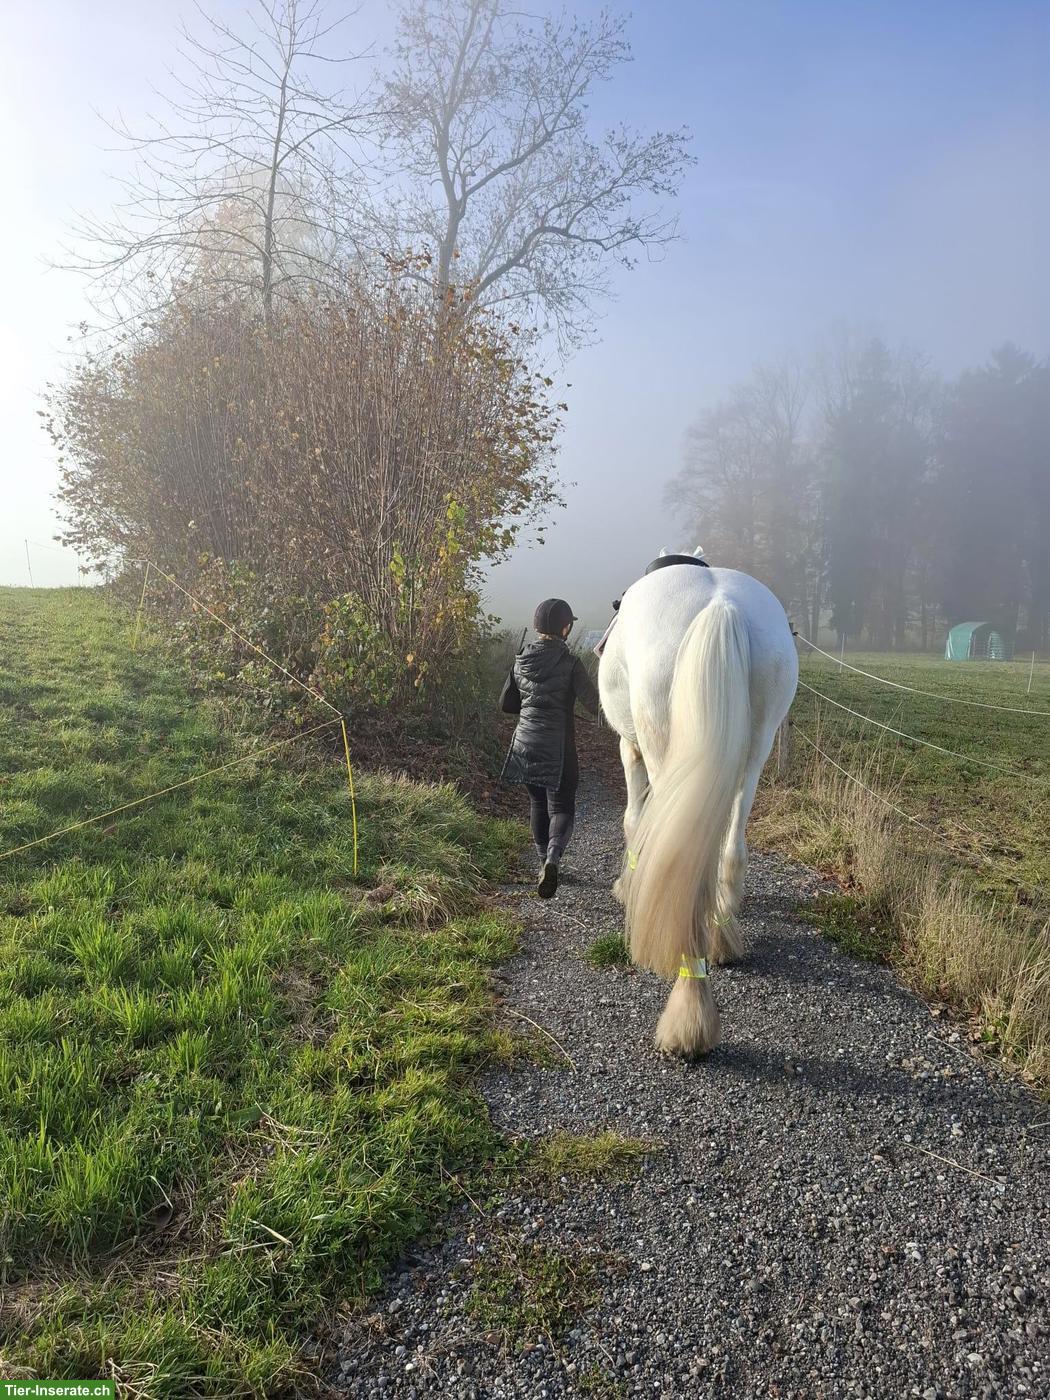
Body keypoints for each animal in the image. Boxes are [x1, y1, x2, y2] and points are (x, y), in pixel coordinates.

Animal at [597, 549, 798, 1058]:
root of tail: (720, 605)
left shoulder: (629, 748)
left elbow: (634, 821)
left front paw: (627, 887)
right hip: (755, 749)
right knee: (729, 848)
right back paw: (723, 933)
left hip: (661, 744)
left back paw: (690, 1016)